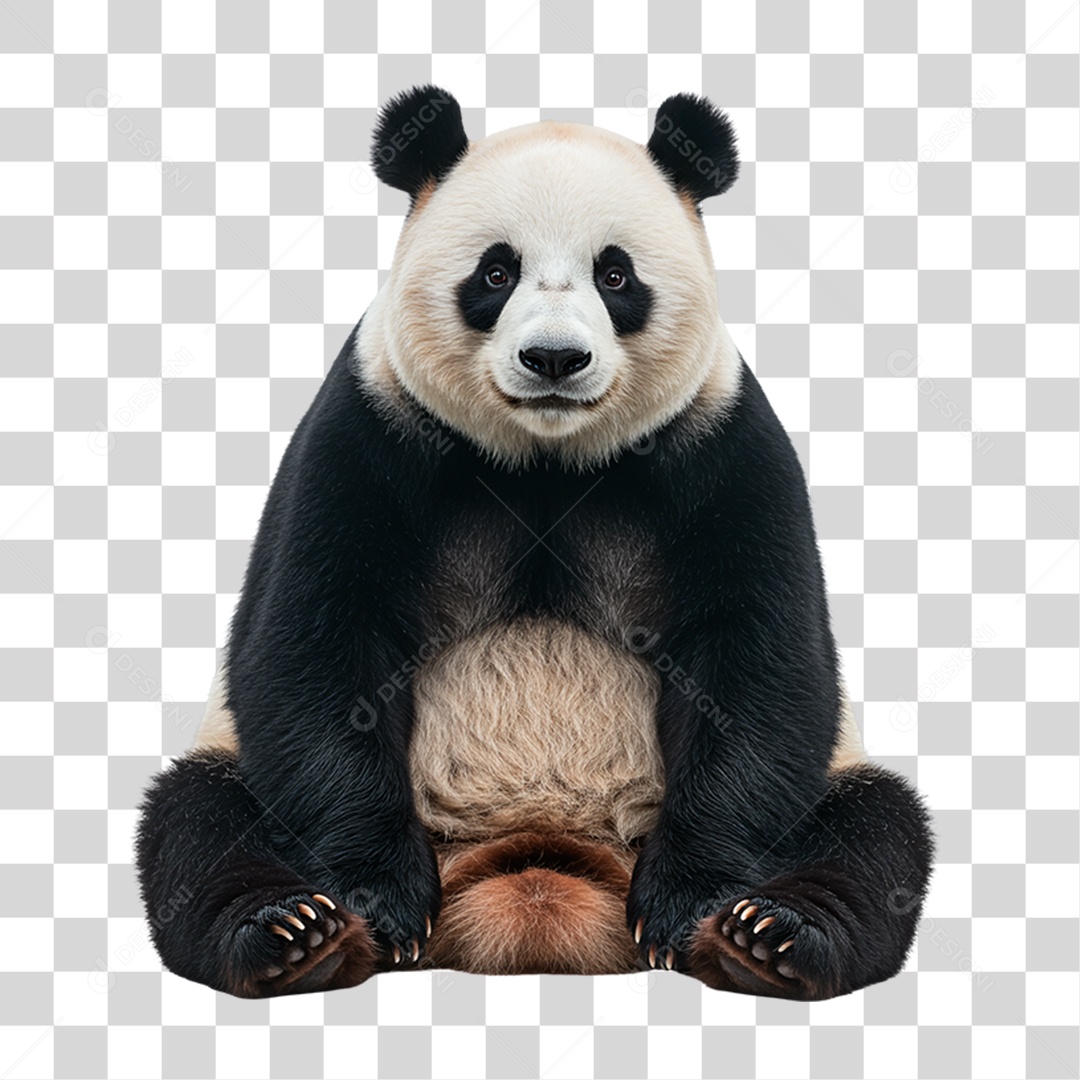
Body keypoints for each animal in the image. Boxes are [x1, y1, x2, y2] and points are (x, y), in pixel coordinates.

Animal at [136, 86, 933, 1001]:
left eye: (615, 274)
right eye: (495, 272)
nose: (554, 358)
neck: (547, 457)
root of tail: (533, 884)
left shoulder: (720, 445)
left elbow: (758, 664)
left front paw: (687, 903)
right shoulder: (372, 429)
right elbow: (315, 644)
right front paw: (382, 898)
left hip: (831, 782)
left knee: (874, 831)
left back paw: (770, 937)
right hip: (237, 765)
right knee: (197, 821)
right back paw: (294, 934)